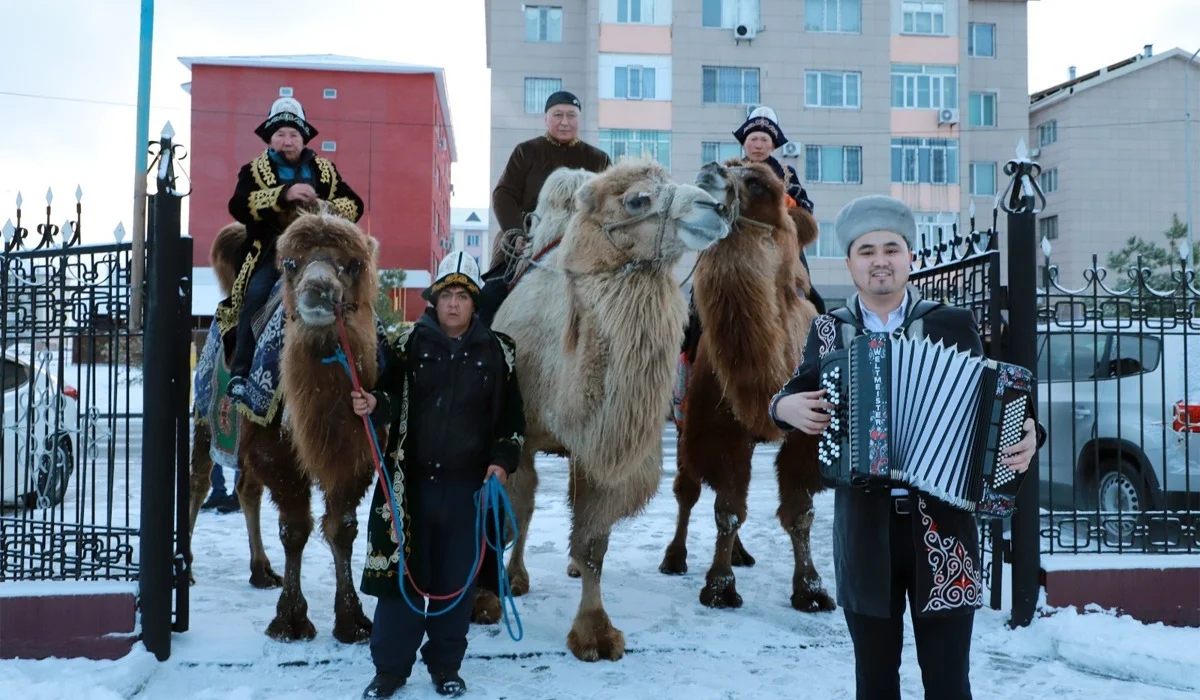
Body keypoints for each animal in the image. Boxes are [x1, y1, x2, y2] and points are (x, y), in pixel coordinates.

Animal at [183, 211, 384, 643]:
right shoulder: (276, 453)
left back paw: (261, 571)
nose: (318, 290)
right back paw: (185, 567)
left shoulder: (357, 455)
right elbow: (295, 529)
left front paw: (352, 620)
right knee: (198, 481)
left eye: (353, 264)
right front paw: (290, 621)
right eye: (291, 263)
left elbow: (343, 529)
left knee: (247, 489)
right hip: (205, 417)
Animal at [480, 156, 729, 657]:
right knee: (525, 509)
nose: (714, 208)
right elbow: (509, 513)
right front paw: (493, 595)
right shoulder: (517, 436)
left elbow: (595, 543)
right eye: (637, 199)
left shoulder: (602, 446)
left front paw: (594, 632)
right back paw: (515, 578)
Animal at [657, 158, 835, 614]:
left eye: (758, 183)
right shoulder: (719, 427)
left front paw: (811, 589)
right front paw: (720, 587)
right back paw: (675, 557)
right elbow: (727, 508)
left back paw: (739, 553)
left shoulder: (805, 436)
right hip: (683, 423)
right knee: (687, 491)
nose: (710, 169)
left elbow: (800, 512)